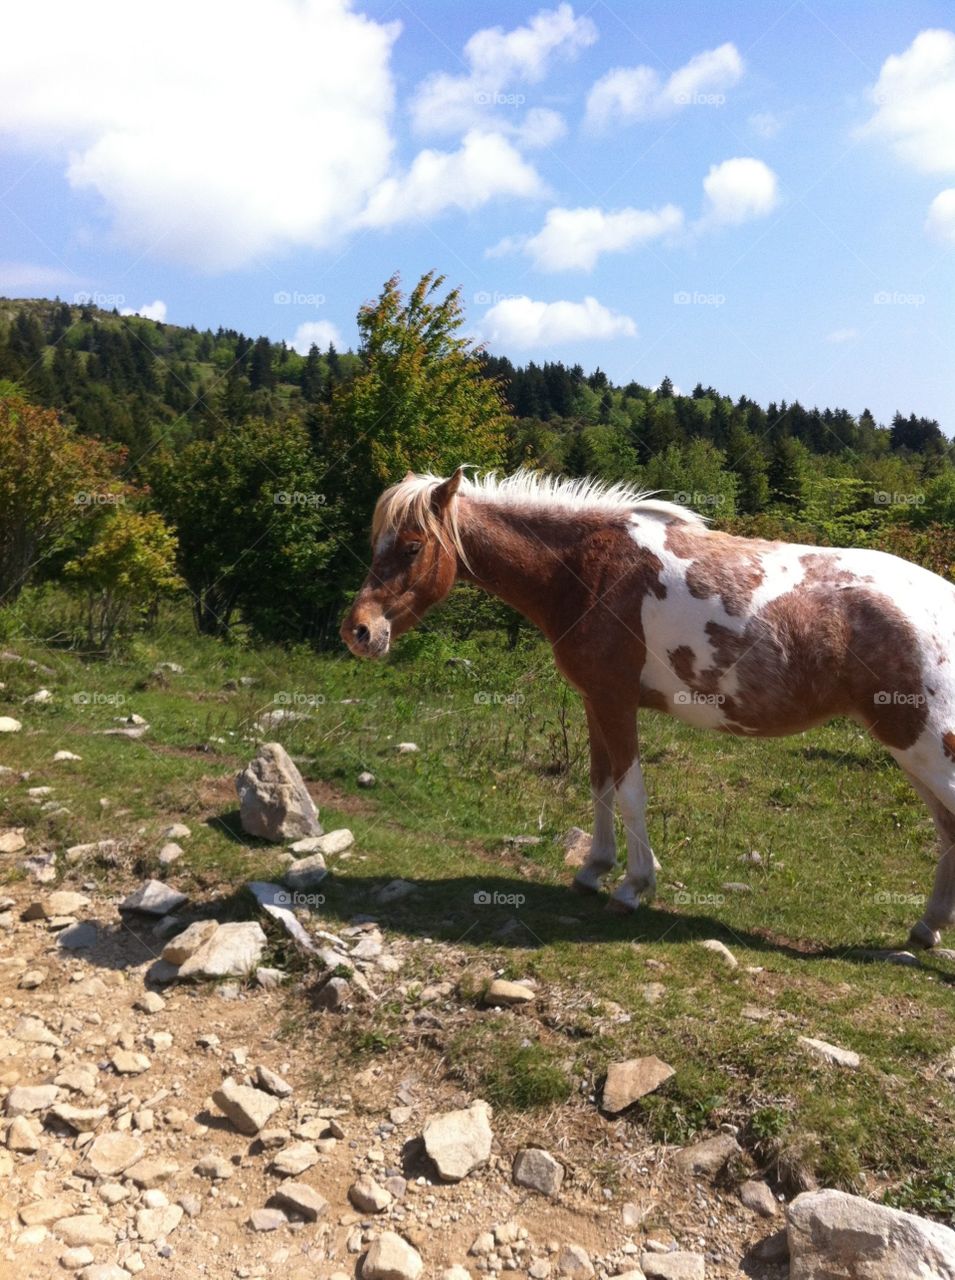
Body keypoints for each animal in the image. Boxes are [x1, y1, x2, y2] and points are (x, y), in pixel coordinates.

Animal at [342, 467, 955, 951]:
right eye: (378, 544)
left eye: (412, 546)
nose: (359, 632)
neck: (586, 566)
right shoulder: (596, 702)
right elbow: (599, 785)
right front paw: (593, 869)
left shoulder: (616, 702)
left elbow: (631, 792)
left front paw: (633, 887)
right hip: (912, 752)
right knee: (948, 829)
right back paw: (925, 929)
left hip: (922, 746)